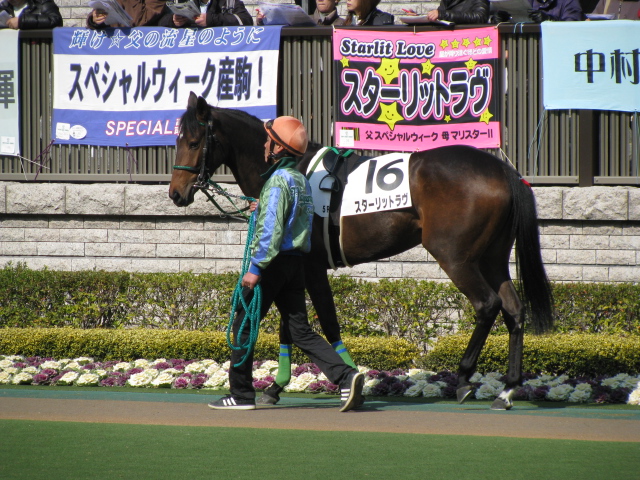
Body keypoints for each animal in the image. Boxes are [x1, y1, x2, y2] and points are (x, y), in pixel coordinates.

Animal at [169, 93, 554, 410]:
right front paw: (285, 386)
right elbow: (293, 325)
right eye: (177, 139)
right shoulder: (301, 268)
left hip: (455, 256)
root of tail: (503, 170)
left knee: (487, 305)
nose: (175, 193)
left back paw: (463, 378)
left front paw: (342, 381)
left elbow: (321, 322)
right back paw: (508, 388)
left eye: (193, 141)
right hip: (492, 258)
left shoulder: (308, 266)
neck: (293, 168)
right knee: (513, 310)